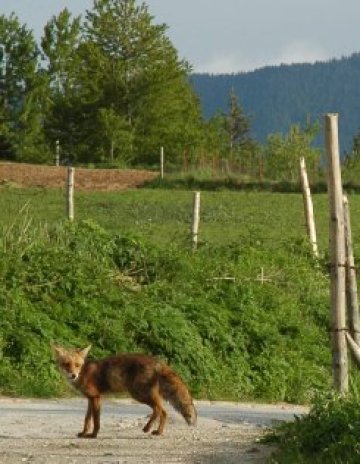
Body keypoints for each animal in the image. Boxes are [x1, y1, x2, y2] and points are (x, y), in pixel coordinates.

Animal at [51, 344, 197, 438]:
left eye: (77, 365)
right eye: (66, 364)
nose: (73, 375)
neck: (84, 373)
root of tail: (157, 361)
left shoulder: (96, 397)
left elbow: (96, 420)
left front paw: (93, 435)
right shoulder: (90, 399)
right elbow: (87, 419)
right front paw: (83, 433)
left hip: (138, 393)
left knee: (158, 409)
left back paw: (147, 428)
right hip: (142, 394)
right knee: (164, 412)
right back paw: (158, 432)